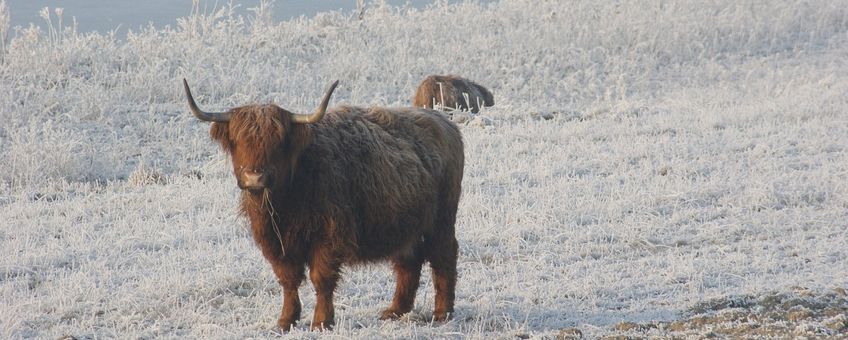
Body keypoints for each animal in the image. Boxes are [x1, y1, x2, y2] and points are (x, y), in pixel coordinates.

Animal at [183, 78, 468, 330]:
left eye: (278, 142)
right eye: (238, 140)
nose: (255, 177)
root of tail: (443, 122)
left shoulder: (329, 236)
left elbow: (321, 279)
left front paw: (321, 322)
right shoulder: (276, 242)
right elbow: (288, 280)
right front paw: (285, 320)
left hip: (442, 219)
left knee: (443, 255)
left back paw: (442, 313)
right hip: (403, 223)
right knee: (409, 261)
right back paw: (395, 310)